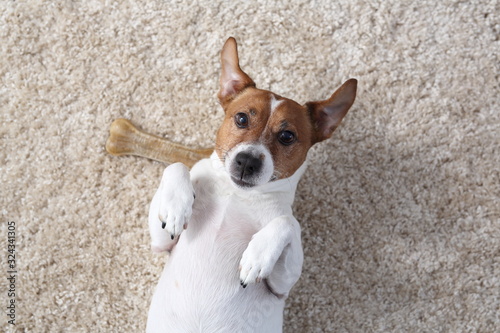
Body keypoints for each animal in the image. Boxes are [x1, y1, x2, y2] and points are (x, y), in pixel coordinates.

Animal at [145, 37, 356, 330]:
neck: (238, 195)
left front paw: (258, 255)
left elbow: (288, 222)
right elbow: (176, 166)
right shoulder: (161, 243)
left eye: (287, 136)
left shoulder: (281, 286)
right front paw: (177, 208)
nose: (247, 161)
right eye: (242, 118)